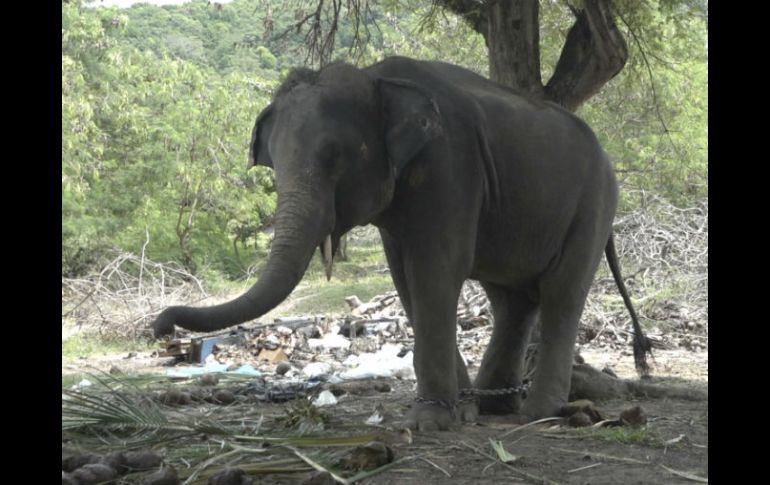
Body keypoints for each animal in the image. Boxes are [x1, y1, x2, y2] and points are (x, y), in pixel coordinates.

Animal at [153, 56, 651, 431]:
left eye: (334, 157)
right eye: (272, 163)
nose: (160, 326)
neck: (375, 78)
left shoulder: (451, 164)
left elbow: (436, 270)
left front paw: (430, 423)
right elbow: (406, 280)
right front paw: (460, 411)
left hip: (594, 204)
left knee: (561, 293)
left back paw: (538, 414)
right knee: (513, 300)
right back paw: (495, 406)